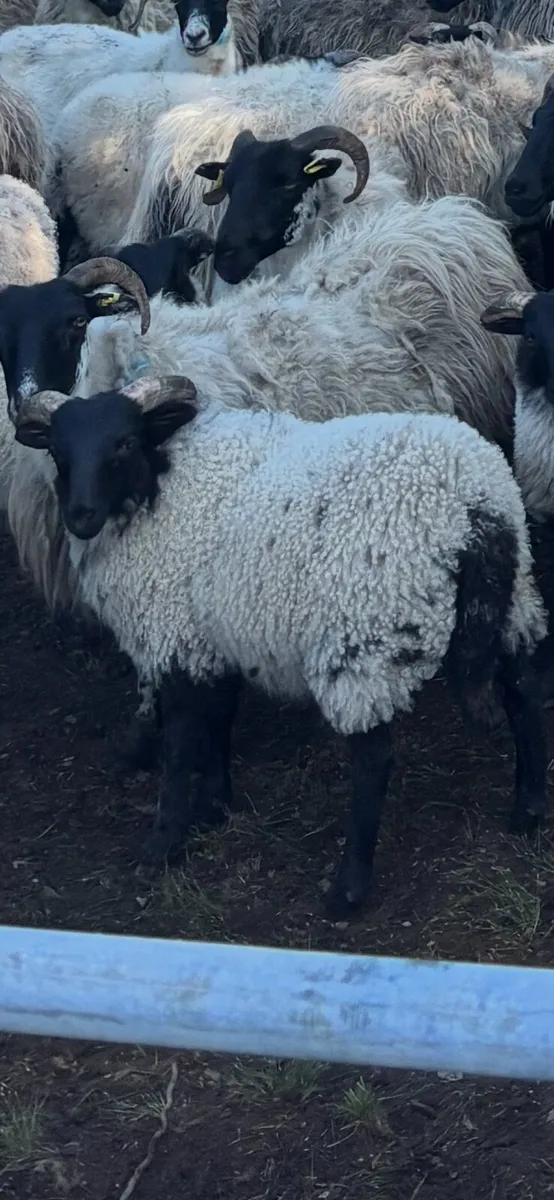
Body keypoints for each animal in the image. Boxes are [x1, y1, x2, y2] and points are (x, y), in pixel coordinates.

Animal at [13, 375, 547, 912]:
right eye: (57, 450)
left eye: (124, 442)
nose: (80, 516)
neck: (160, 487)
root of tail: (476, 510)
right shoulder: (212, 635)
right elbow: (218, 721)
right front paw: (214, 806)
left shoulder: (177, 635)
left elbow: (181, 745)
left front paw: (161, 844)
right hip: (512, 605)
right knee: (524, 697)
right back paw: (528, 812)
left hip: (364, 640)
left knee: (374, 760)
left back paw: (348, 891)